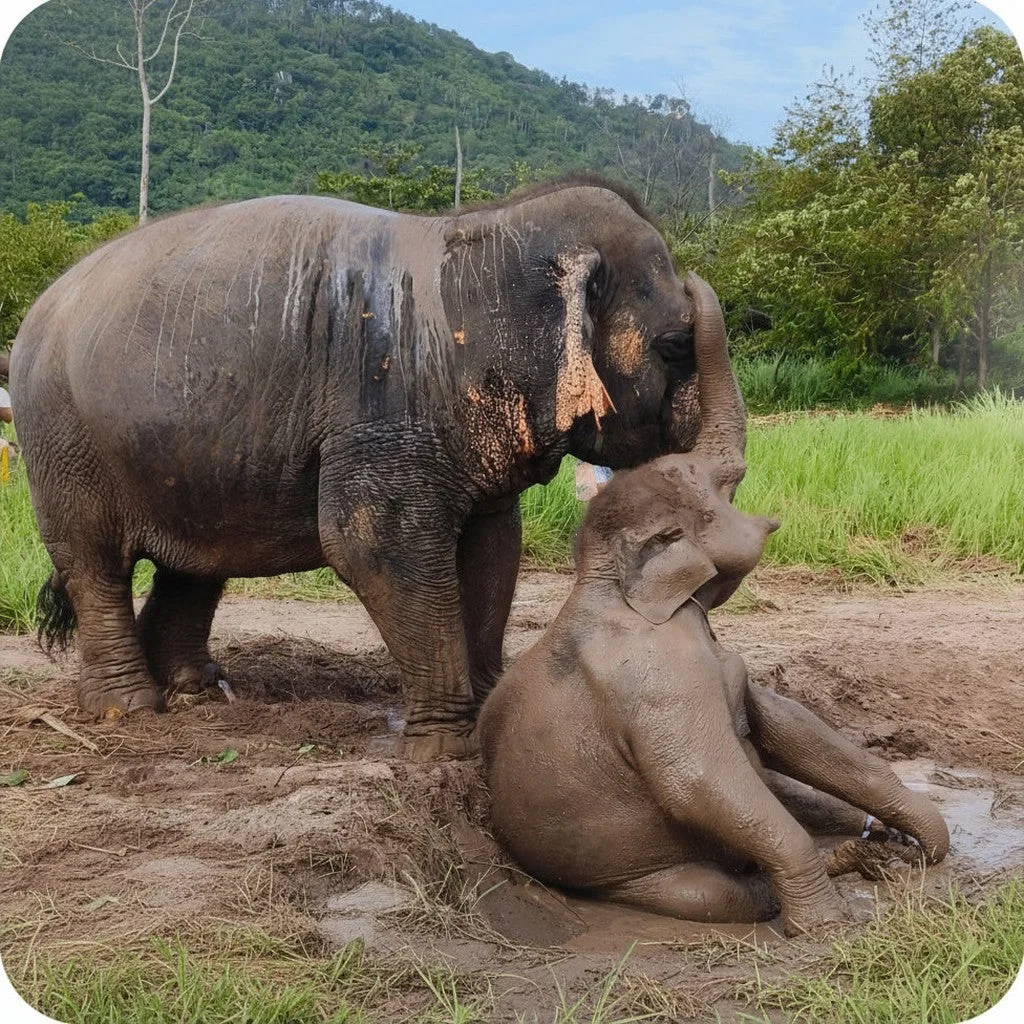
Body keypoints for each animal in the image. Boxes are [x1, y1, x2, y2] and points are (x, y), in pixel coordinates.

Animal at [10, 175, 706, 759]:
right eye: (675, 346)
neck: (487, 232)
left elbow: (492, 548)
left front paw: (490, 718)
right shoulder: (385, 404)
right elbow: (374, 543)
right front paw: (447, 752)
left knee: (195, 562)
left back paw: (197, 688)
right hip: (60, 439)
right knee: (93, 561)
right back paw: (127, 709)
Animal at [477, 278, 949, 934]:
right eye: (719, 485)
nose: (689, 283)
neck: (610, 580)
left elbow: (779, 718)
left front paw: (920, 843)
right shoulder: (659, 678)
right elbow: (699, 780)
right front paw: (827, 927)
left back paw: (871, 851)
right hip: (639, 878)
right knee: (720, 892)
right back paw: (839, 870)